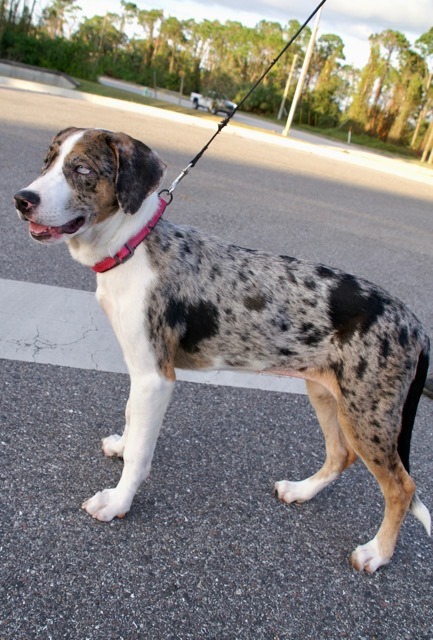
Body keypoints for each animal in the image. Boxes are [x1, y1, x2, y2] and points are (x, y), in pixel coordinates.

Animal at [13, 125, 428, 568]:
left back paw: (377, 553)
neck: (133, 246)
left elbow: (142, 452)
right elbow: (131, 417)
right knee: (340, 455)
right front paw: (123, 446)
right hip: (326, 392)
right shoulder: (140, 369)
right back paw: (300, 491)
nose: (22, 199)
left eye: (82, 169)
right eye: (48, 161)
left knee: (402, 487)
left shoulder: (156, 376)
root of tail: (415, 325)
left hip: (369, 413)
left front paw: (118, 501)